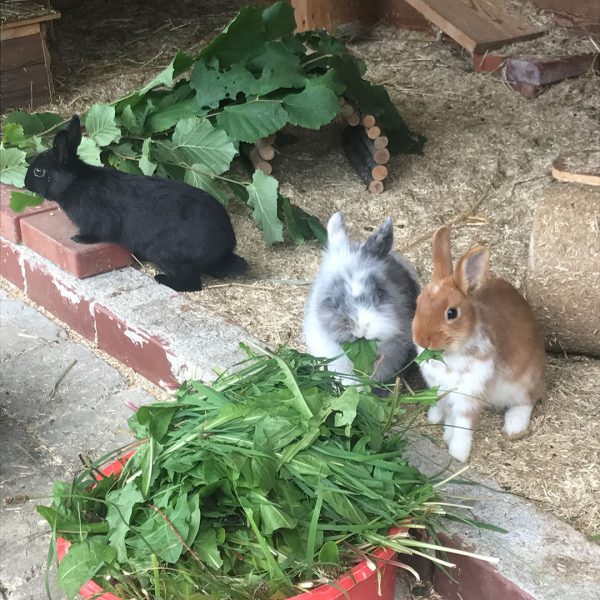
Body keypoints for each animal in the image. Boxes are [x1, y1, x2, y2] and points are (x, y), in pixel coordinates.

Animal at [24, 113, 248, 292]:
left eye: (39, 172)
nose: (25, 183)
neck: (74, 182)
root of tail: (224, 248)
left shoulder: (97, 220)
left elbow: (96, 233)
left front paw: (79, 239)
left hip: (166, 253)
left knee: (193, 282)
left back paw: (162, 279)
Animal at [412, 227, 544, 462]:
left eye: (451, 313)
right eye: (419, 303)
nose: (421, 339)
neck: (448, 355)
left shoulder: (469, 394)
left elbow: (462, 424)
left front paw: (458, 454)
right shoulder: (442, 391)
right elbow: (448, 415)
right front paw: (441, 426)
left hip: (522, 383)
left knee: (527, 402)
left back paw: (514, 428)